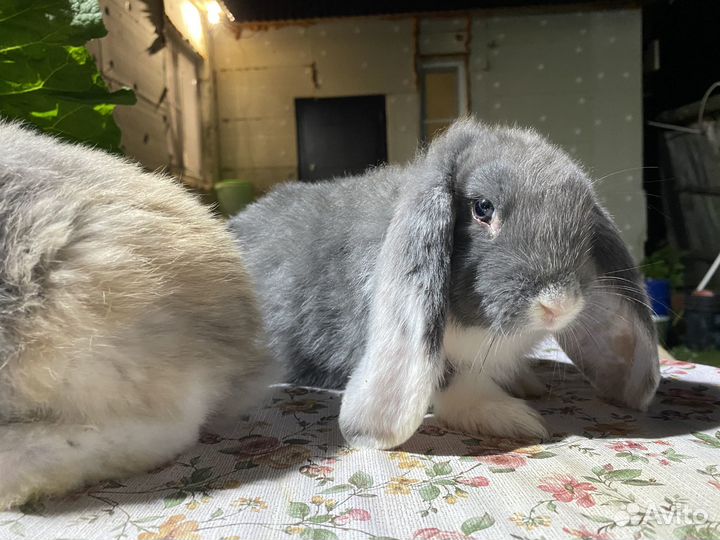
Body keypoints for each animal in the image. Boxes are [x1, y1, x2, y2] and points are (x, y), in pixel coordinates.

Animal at [229, 118, 660, 450]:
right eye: (482, 208)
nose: (559, 304)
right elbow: (449, 378)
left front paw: (526, 383)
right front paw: (509, 416)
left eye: (584, 221)